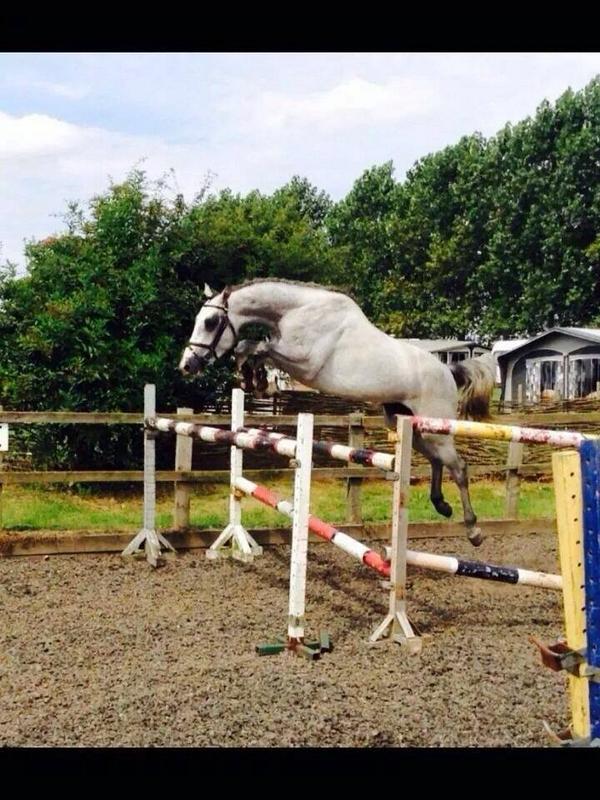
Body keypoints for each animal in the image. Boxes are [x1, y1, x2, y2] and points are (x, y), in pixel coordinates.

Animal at [179, 279, 496, 547]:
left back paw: (474, 530)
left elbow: (256, 347)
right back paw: (441, 505)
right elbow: (250, 347)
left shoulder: (303, 363)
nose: (187, 365)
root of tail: (448, 371)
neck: (298, 311)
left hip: (434, 429)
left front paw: (256, 380)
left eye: (210, 322)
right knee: (437, 460)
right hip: (412, 427)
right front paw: (252, 380)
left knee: (459, 467)